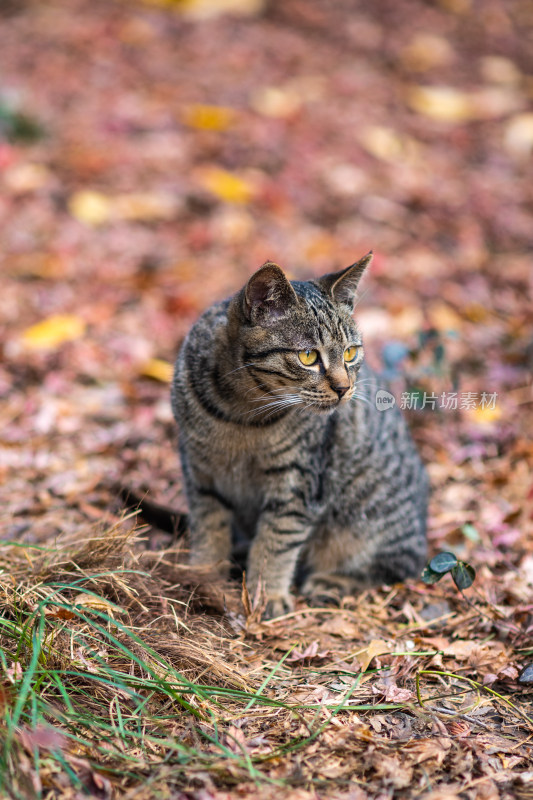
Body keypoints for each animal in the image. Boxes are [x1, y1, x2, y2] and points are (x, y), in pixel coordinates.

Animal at [170, 255, 428, 620]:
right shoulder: (200, 471)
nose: (344, 388)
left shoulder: (297, 485)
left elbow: (275, 543)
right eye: (308, 356)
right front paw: (204, 575)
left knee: (399, 565)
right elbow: (210, 529)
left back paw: (331, 581)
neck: (241, 415)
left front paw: (266, 595)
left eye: (350, 353)